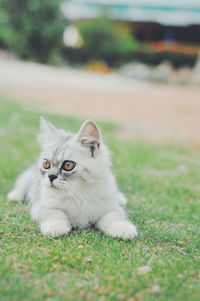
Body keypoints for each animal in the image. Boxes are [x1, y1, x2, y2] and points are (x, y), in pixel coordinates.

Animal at [7, 117, 138, 239]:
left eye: (68, 165)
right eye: (46, 164)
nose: (51, 176)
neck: (78, 194)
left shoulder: (110, 208)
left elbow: (114, 217)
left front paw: (123, 229)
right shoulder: (41, 206)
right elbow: (55, 213)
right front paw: (55, 227)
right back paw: (14, 195)